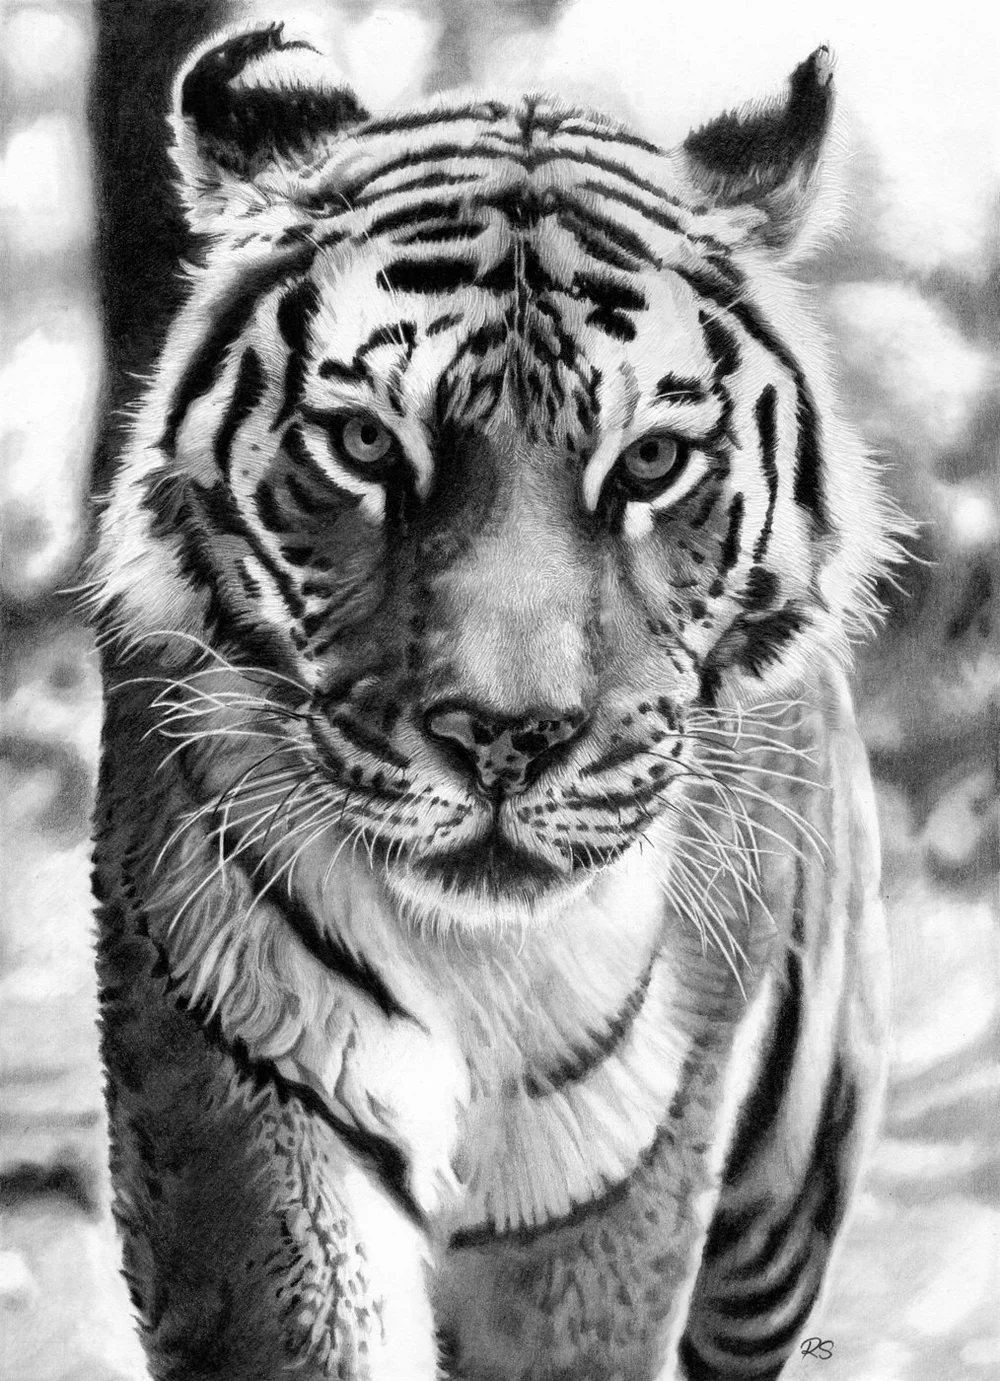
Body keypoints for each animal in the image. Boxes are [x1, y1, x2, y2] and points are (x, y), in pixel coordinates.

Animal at [88, 23, 899, 1381]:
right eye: (366, 446)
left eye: (650, 462)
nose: (505, 739)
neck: (477, 964)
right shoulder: (243, 1074)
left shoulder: (613, 1166)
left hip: (782, 1202)